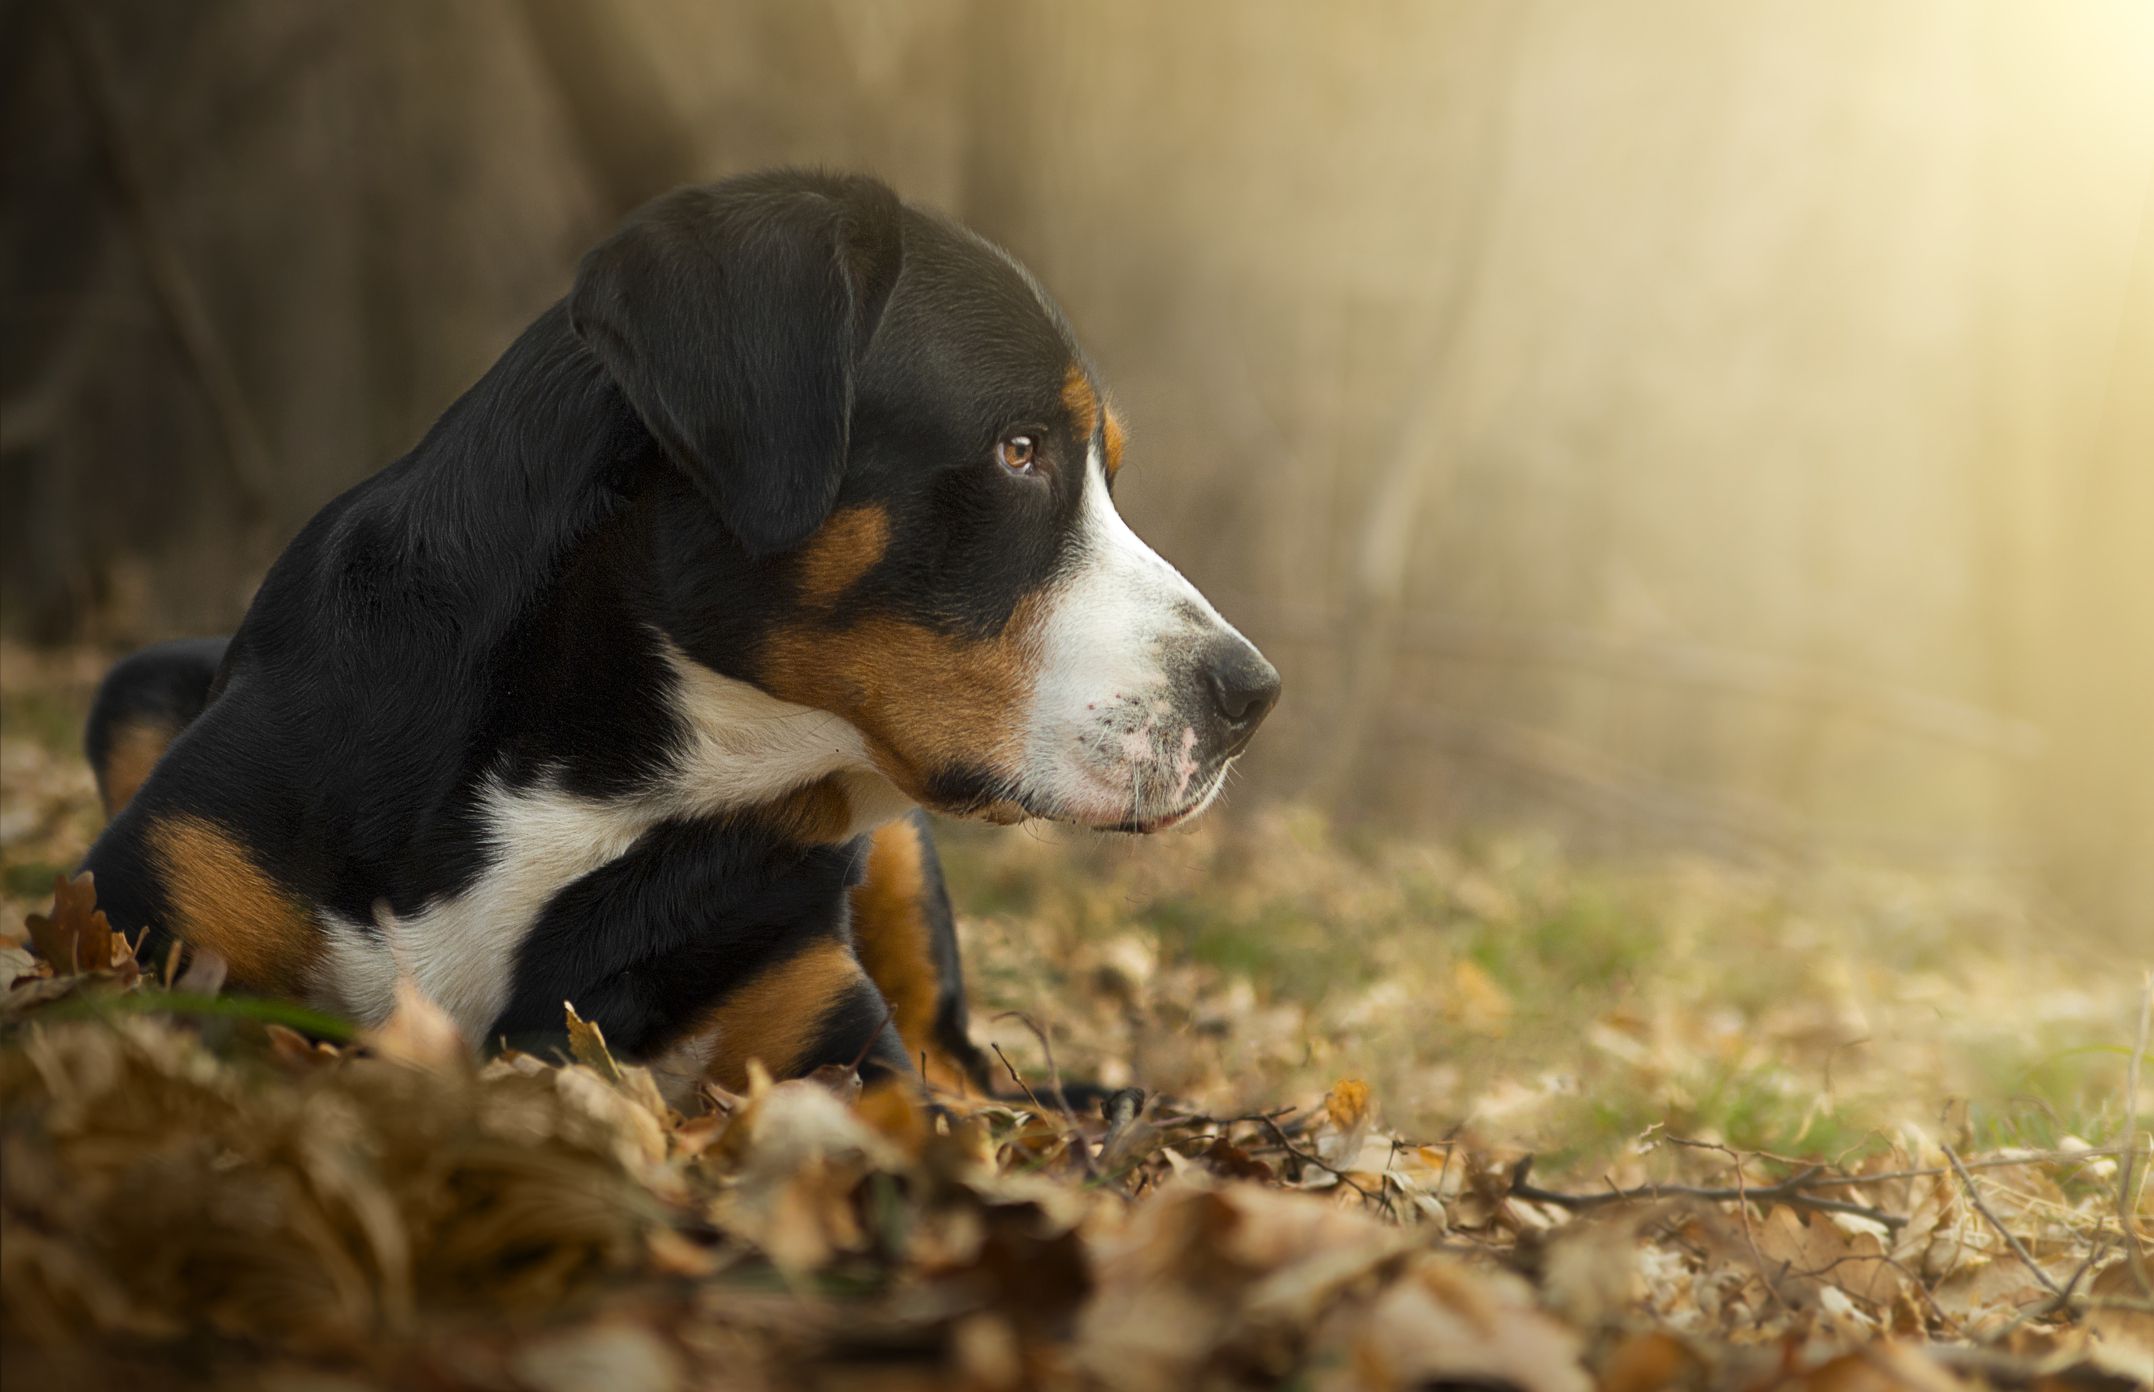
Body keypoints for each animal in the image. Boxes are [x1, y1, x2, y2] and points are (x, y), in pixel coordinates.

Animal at [71, 169, 1275, 1094]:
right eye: (1020, 449)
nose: (1252, 696)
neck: (600, 777)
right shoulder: (161, 903)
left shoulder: (838, 1043)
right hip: (136, 684)